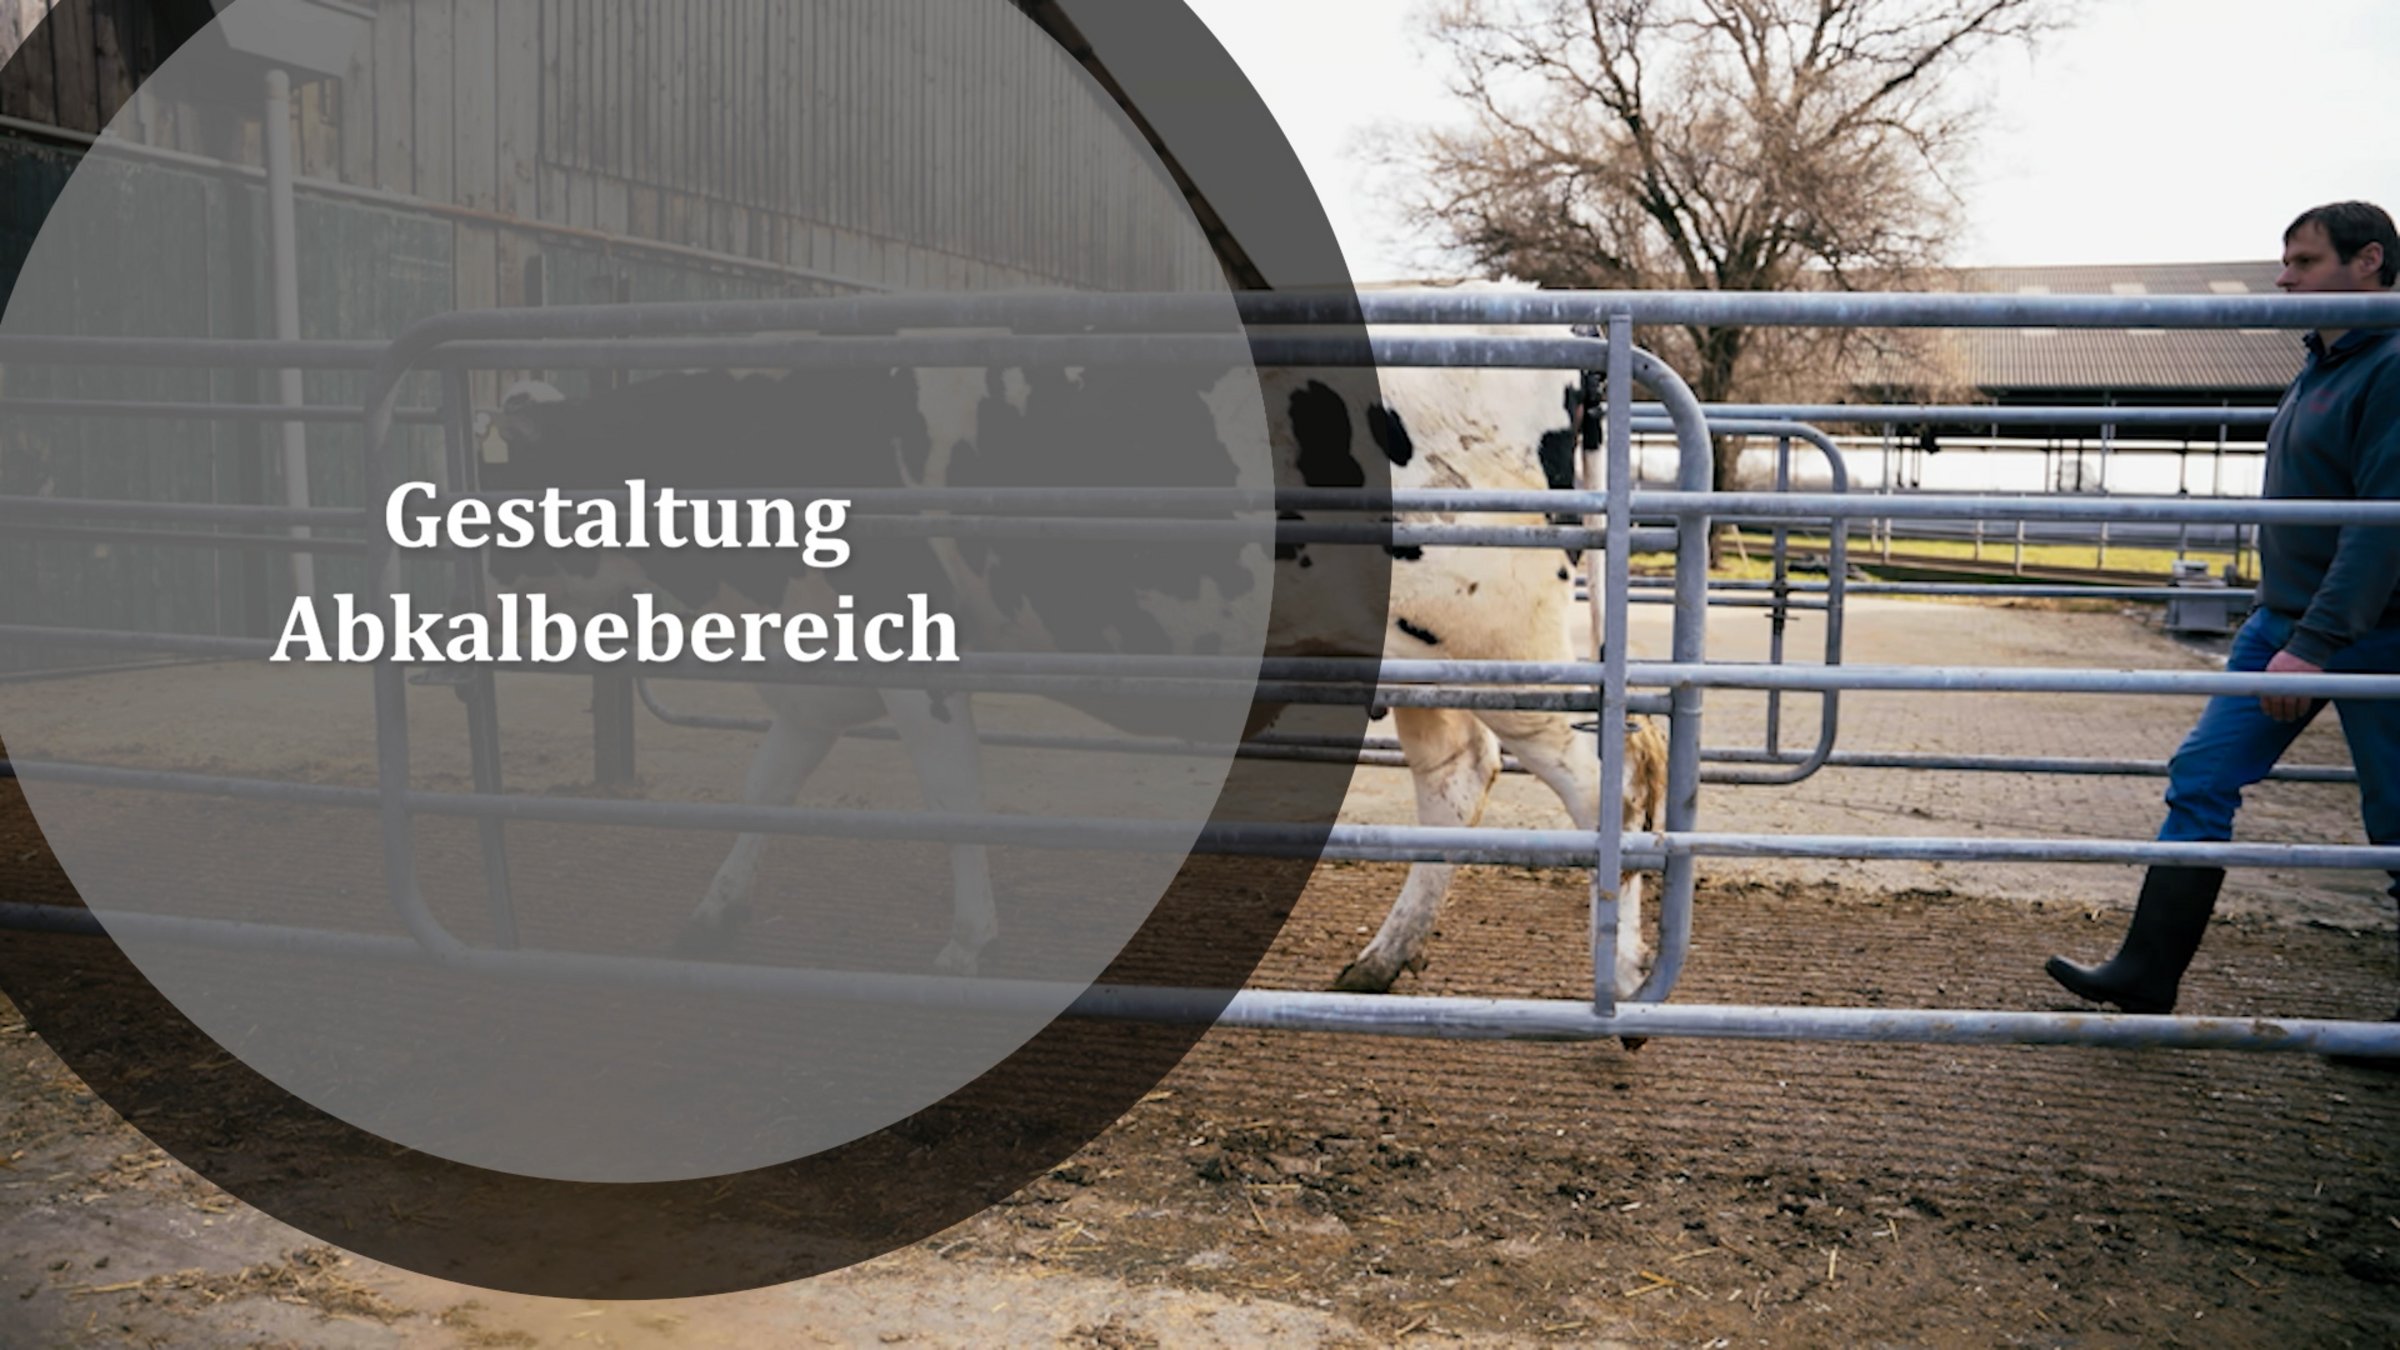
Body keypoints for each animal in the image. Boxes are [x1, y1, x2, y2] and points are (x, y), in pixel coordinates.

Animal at [481, 333, 1668, 998]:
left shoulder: (912, 650)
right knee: (1458, 781)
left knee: (1611, 772)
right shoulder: (826, 671)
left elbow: (952, 802)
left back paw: (1618, 981)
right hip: (1426, 672)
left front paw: (967, 947)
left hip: (1509, 653)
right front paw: (709, 920)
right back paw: (1381, 962)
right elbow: (768, 787)